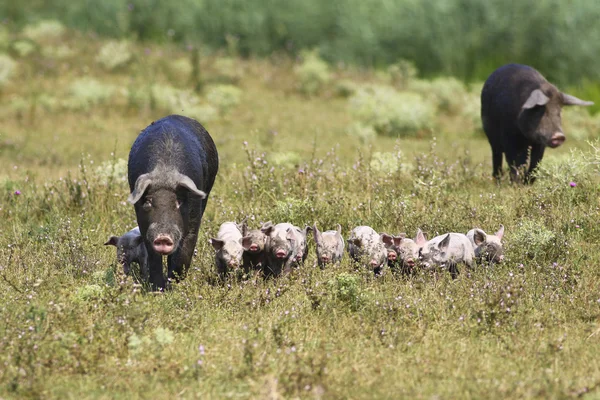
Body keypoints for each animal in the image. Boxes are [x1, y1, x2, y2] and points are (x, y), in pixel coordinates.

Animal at [127, 114, 219, 290]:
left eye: (178, 202)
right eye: (148, 202)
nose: (163, 237)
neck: (165, 171)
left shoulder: (194, 215)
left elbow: (185, 251)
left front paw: (173, 285)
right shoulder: (145, 224)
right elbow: (153, 257)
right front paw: (158, 288)